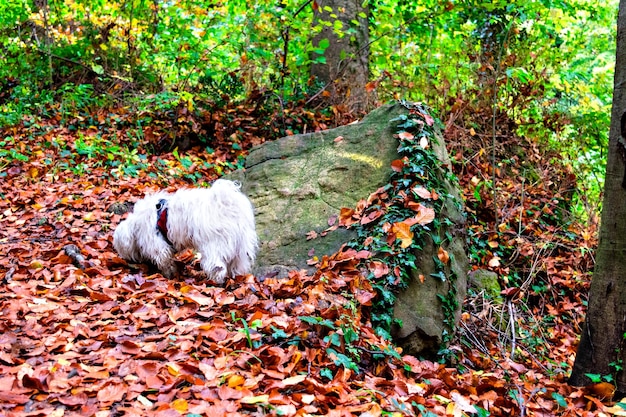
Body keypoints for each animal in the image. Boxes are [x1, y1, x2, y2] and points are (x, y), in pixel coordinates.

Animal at [112, 179, 256, 282]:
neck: (136, 225)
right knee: (237, 266)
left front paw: (168, 275)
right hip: (241, 247)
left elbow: (165, 262)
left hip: (214, 245)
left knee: (217, 267)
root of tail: (228, 205)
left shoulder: (158, 246)